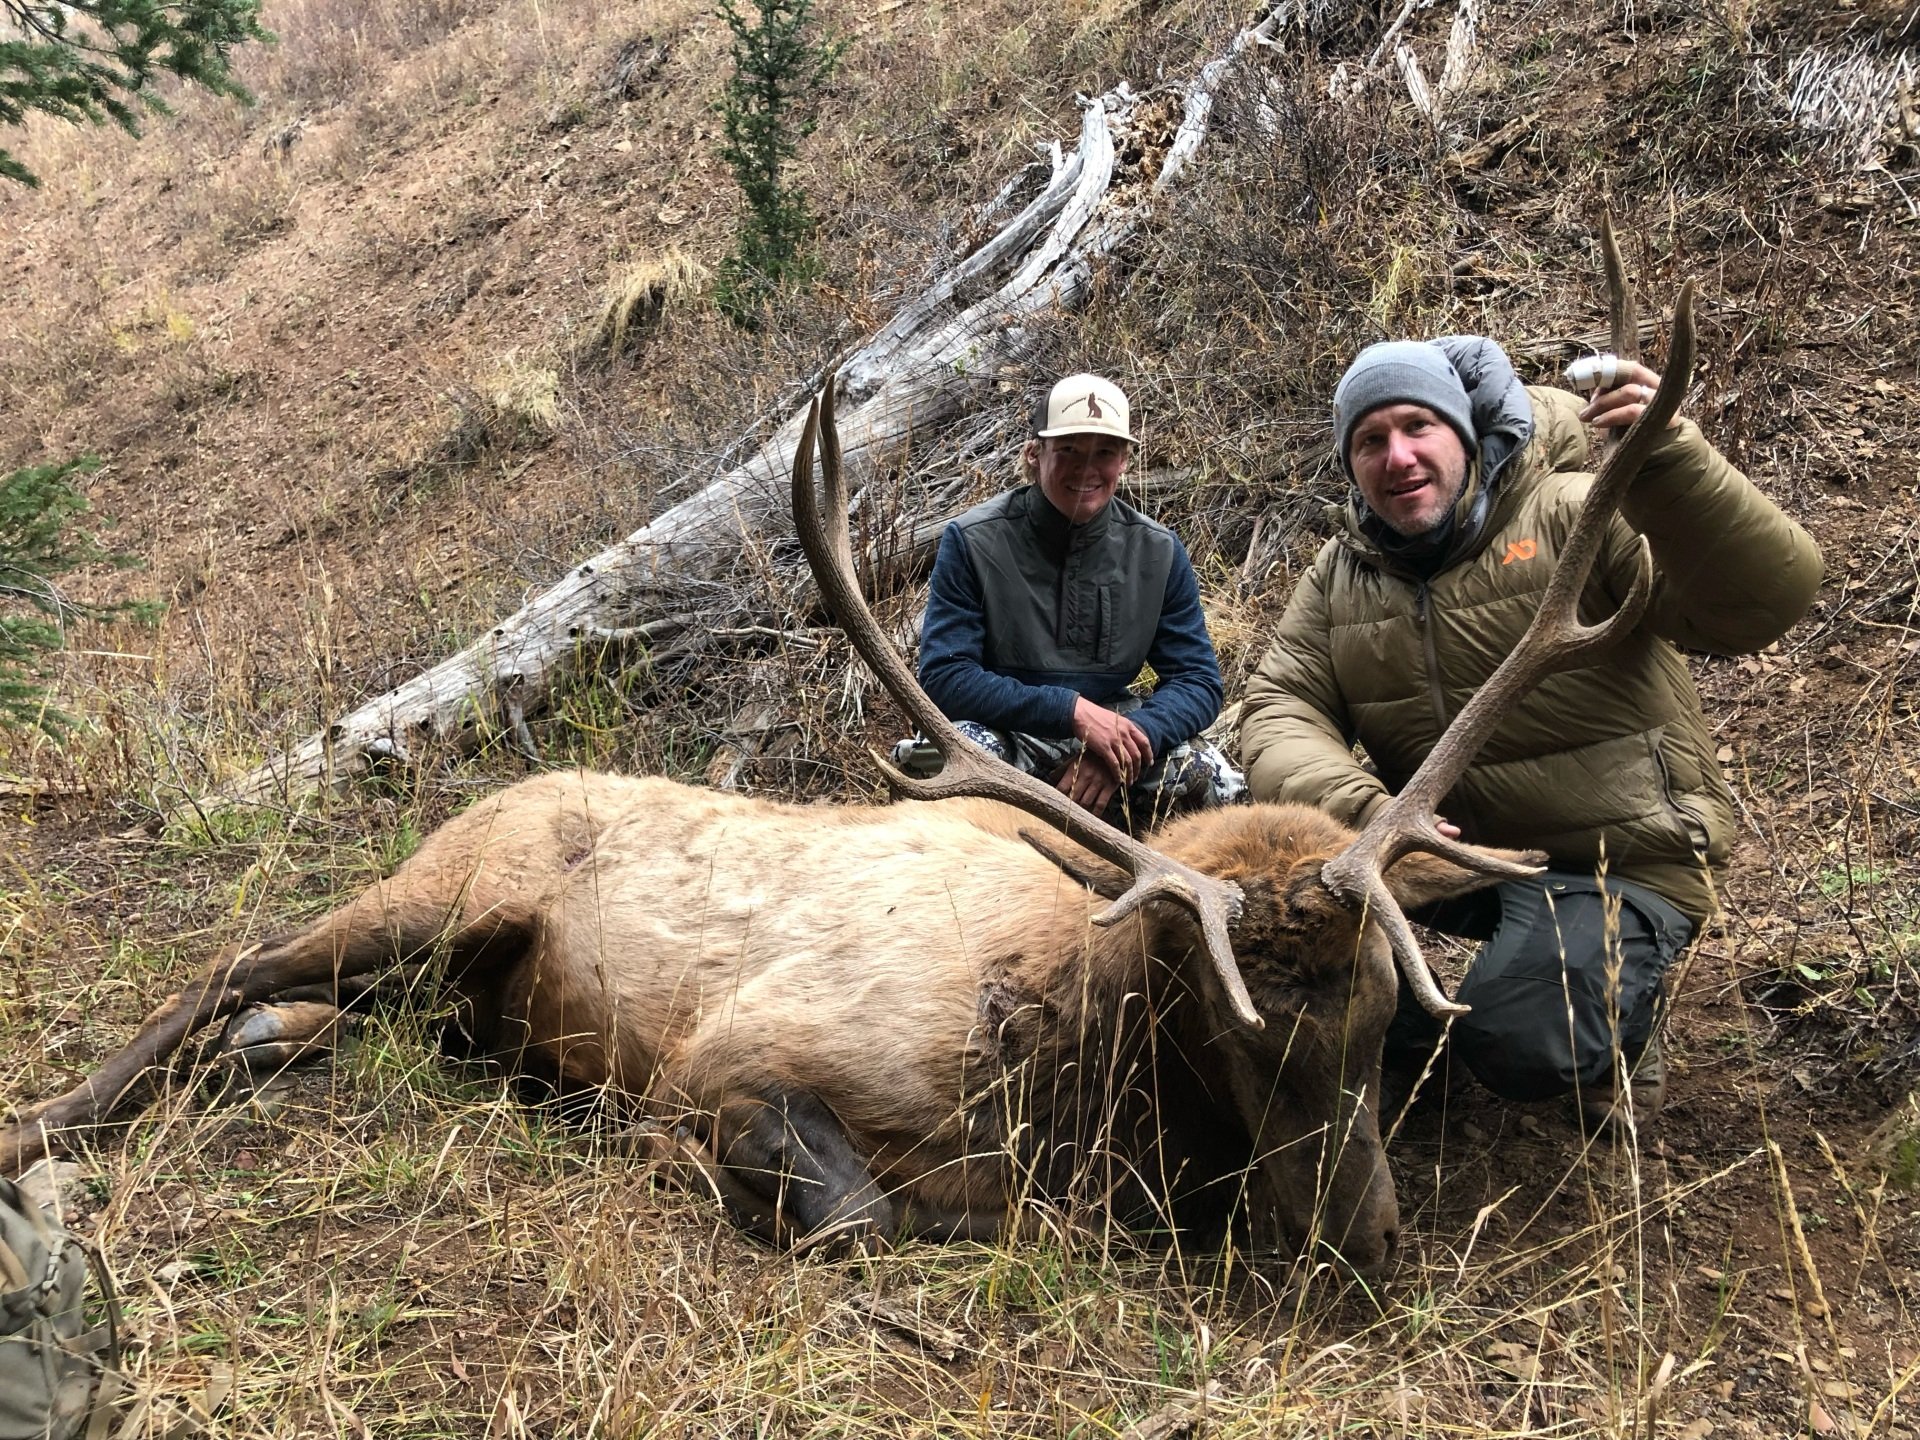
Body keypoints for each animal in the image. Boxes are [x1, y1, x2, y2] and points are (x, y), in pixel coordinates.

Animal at [1, 241, 1692, 1278]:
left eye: (1379, 1026)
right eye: (1230, 1030)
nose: (1365, 1239)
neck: (1070, 1077)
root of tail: (492, 796)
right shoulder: (737, 1058)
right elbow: (861, 1219)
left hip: (445, 962)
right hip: (451, 889)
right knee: (236, 958)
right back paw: (57, 1119)